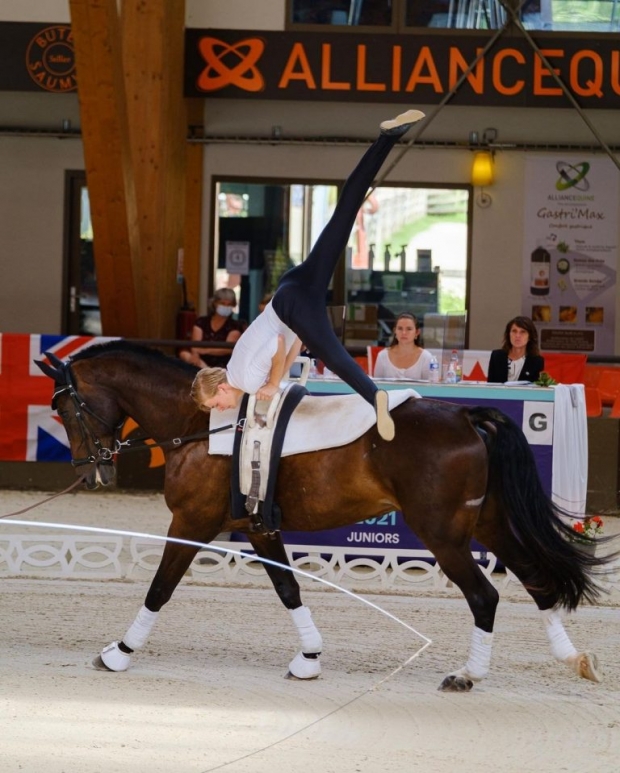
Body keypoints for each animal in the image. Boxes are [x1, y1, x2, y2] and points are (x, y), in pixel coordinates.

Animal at [36, 340, 608, 692]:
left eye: (63, 408)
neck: (200, 423)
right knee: (535, 578)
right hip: (487, 523)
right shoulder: (257, 528)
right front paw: (308, 658)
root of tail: (466, 415)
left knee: (485, 595)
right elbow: (288, 589)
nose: (91, 471)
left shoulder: (191, 524)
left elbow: (160, 587)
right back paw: (572, 658)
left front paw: (119, 652)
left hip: (443, 535)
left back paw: (468, 674)